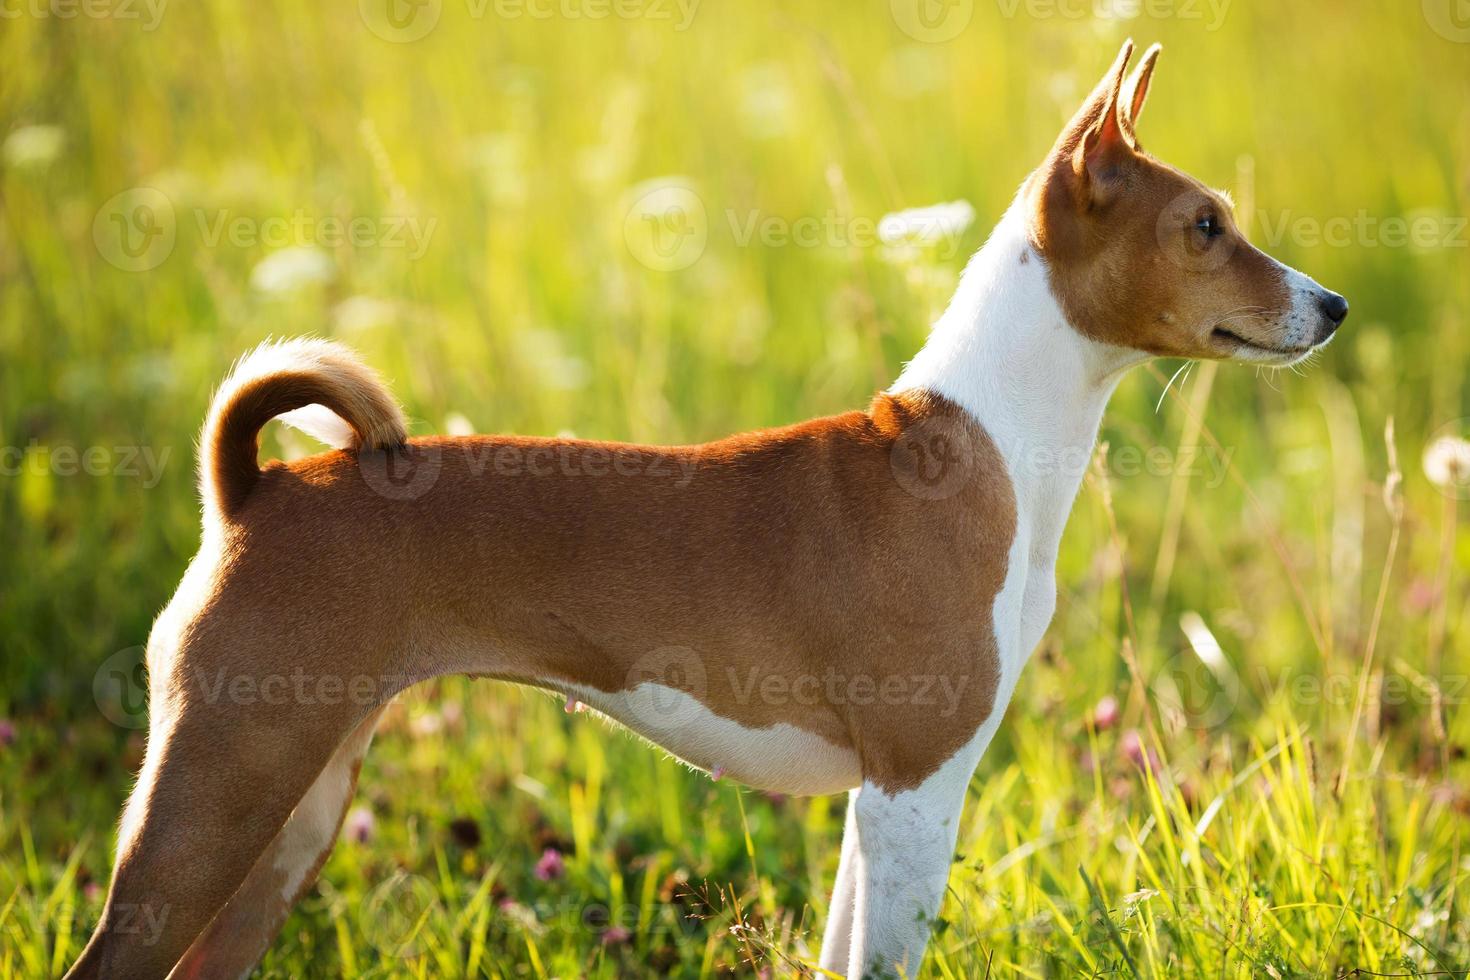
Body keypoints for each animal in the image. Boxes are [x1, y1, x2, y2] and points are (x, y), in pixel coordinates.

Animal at [71, 42, 1346, 980]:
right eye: (1206, 226)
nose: (1332, 304)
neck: (984, 448)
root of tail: (250, 489)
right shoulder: (915, 784)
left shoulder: (882, 804)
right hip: (220, 790)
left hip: (295, 807)